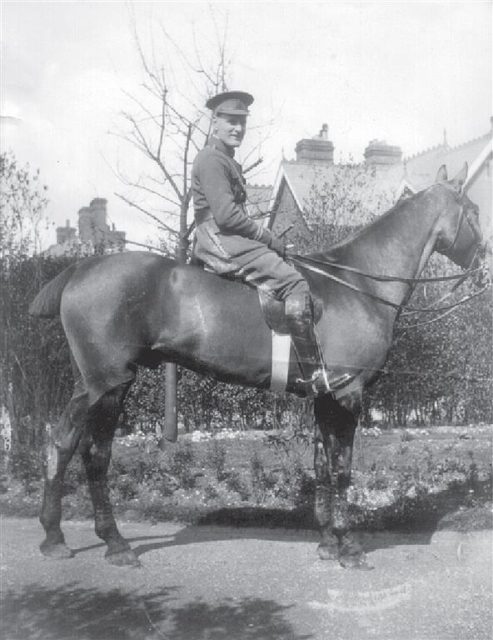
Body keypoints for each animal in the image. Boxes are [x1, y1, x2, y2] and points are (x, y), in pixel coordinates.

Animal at [30, 162, 484, 568]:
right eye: (476, 211)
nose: (482, 263)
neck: (358, 284)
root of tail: (81, 267)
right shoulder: (347, 396)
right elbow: (341, 470)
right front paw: (349, 547)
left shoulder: (324, 398)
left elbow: (322, 467)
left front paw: (327, 543)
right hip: (108, 384)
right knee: (85, 451)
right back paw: (100, 542)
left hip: (93, 384)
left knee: (71, 448)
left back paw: (68, 537)